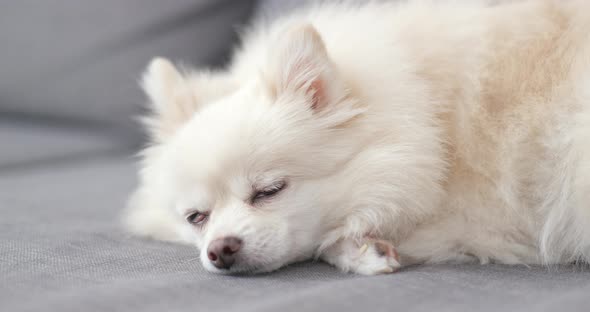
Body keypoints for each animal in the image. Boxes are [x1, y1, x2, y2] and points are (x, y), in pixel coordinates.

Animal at [125, 0, 590, 274]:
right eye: (196, 218)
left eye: (270, 191)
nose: (220, 249)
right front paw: (363, 249)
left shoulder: (482, 219)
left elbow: (331, 236)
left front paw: (359, 249)